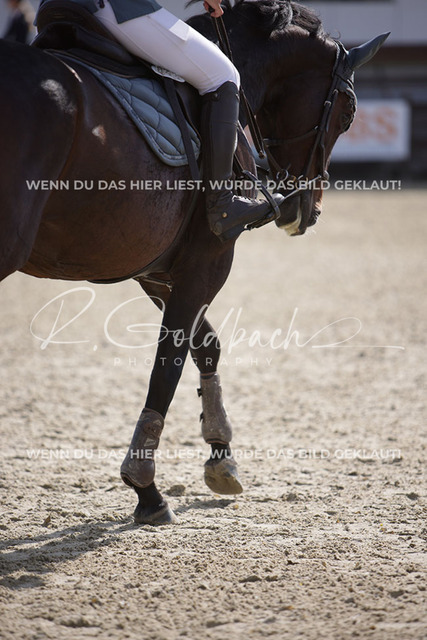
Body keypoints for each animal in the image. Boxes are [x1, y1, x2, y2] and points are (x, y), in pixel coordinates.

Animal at [0, 0, 388, 524]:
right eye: (347, 113)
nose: (307, 212)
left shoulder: (157, 271)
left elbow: (206, 347)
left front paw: (221, 456)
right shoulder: (208, 259)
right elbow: (169, 364)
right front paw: (146, 489)